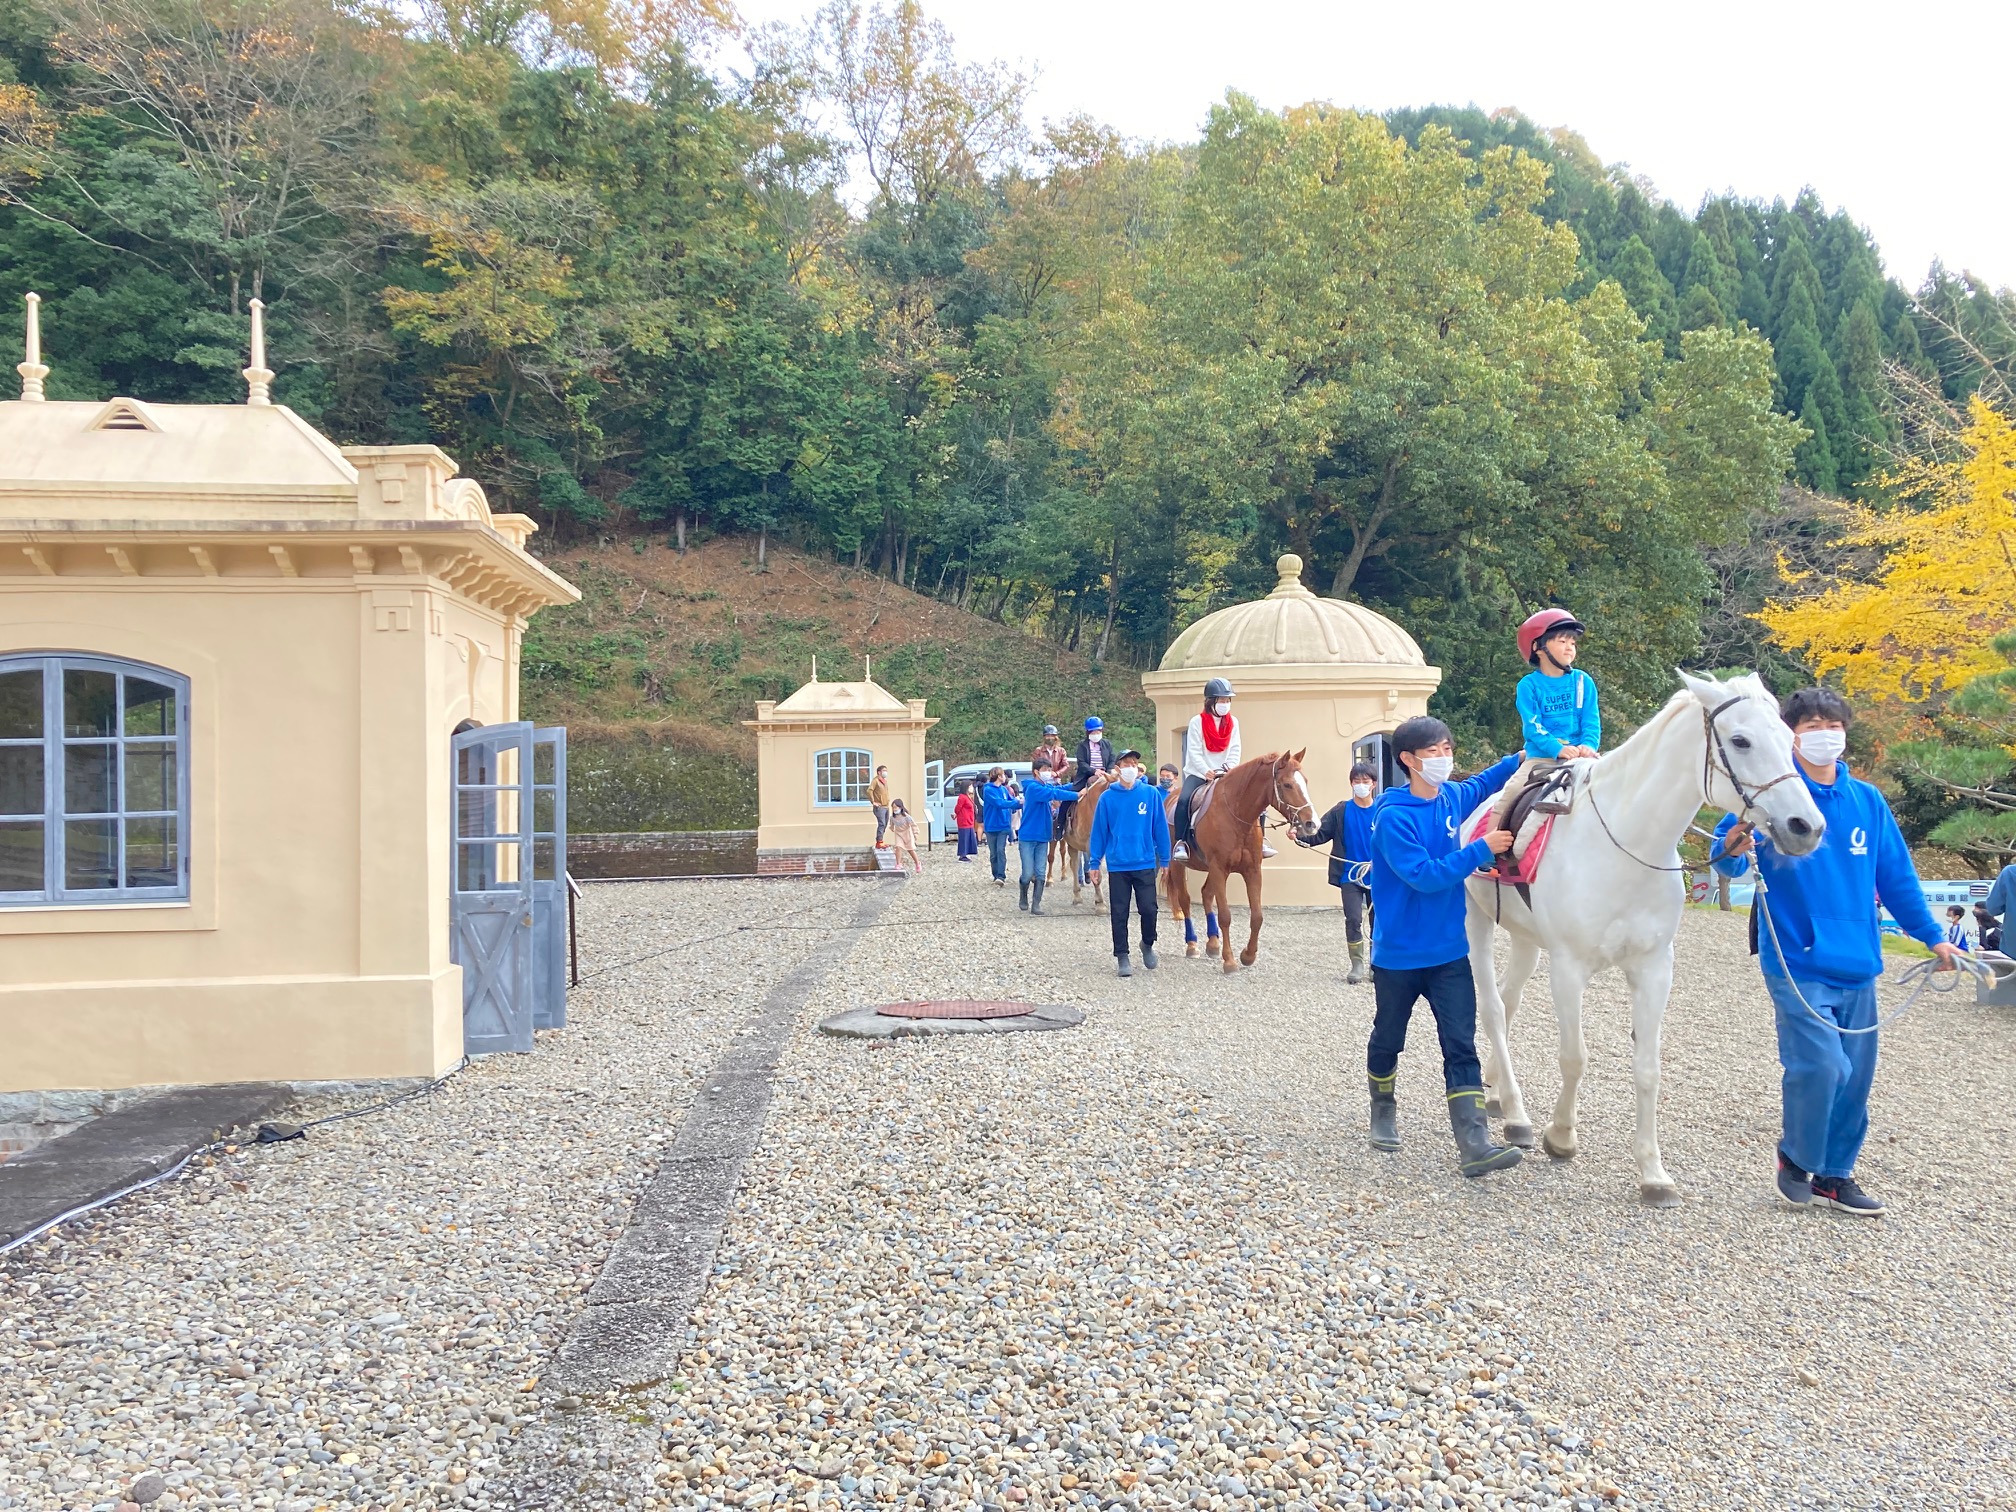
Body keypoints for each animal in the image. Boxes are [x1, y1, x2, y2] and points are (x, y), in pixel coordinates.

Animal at [1169, 753, 1322, 975]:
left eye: (1306, 782)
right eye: (1287, 784)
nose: (1313, 824)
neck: (1236, 814)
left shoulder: (1252, 870)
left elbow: (1257, 916)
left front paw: (1248, 956)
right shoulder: (1219, 868)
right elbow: (1225, 915)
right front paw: (1230, 961)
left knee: (1206, 894)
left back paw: (1213, 943)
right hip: (1178, 865)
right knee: (1185, 900)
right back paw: (1192, 945)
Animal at [1467, 673, 1830, 1209]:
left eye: (1790, 740)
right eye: (1741, 741)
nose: (1806, 827)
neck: (1627, 845)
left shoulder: (1655, 969)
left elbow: (1648, 1070)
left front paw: (1653, 1173)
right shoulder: (1569, 968)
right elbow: (1575, 1057)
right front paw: (1562, 1135)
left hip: (1526, 939)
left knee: (1508, 1006)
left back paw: (1498, 1094)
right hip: (1476, 921)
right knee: (1493, 1010)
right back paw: (1517, 1115)